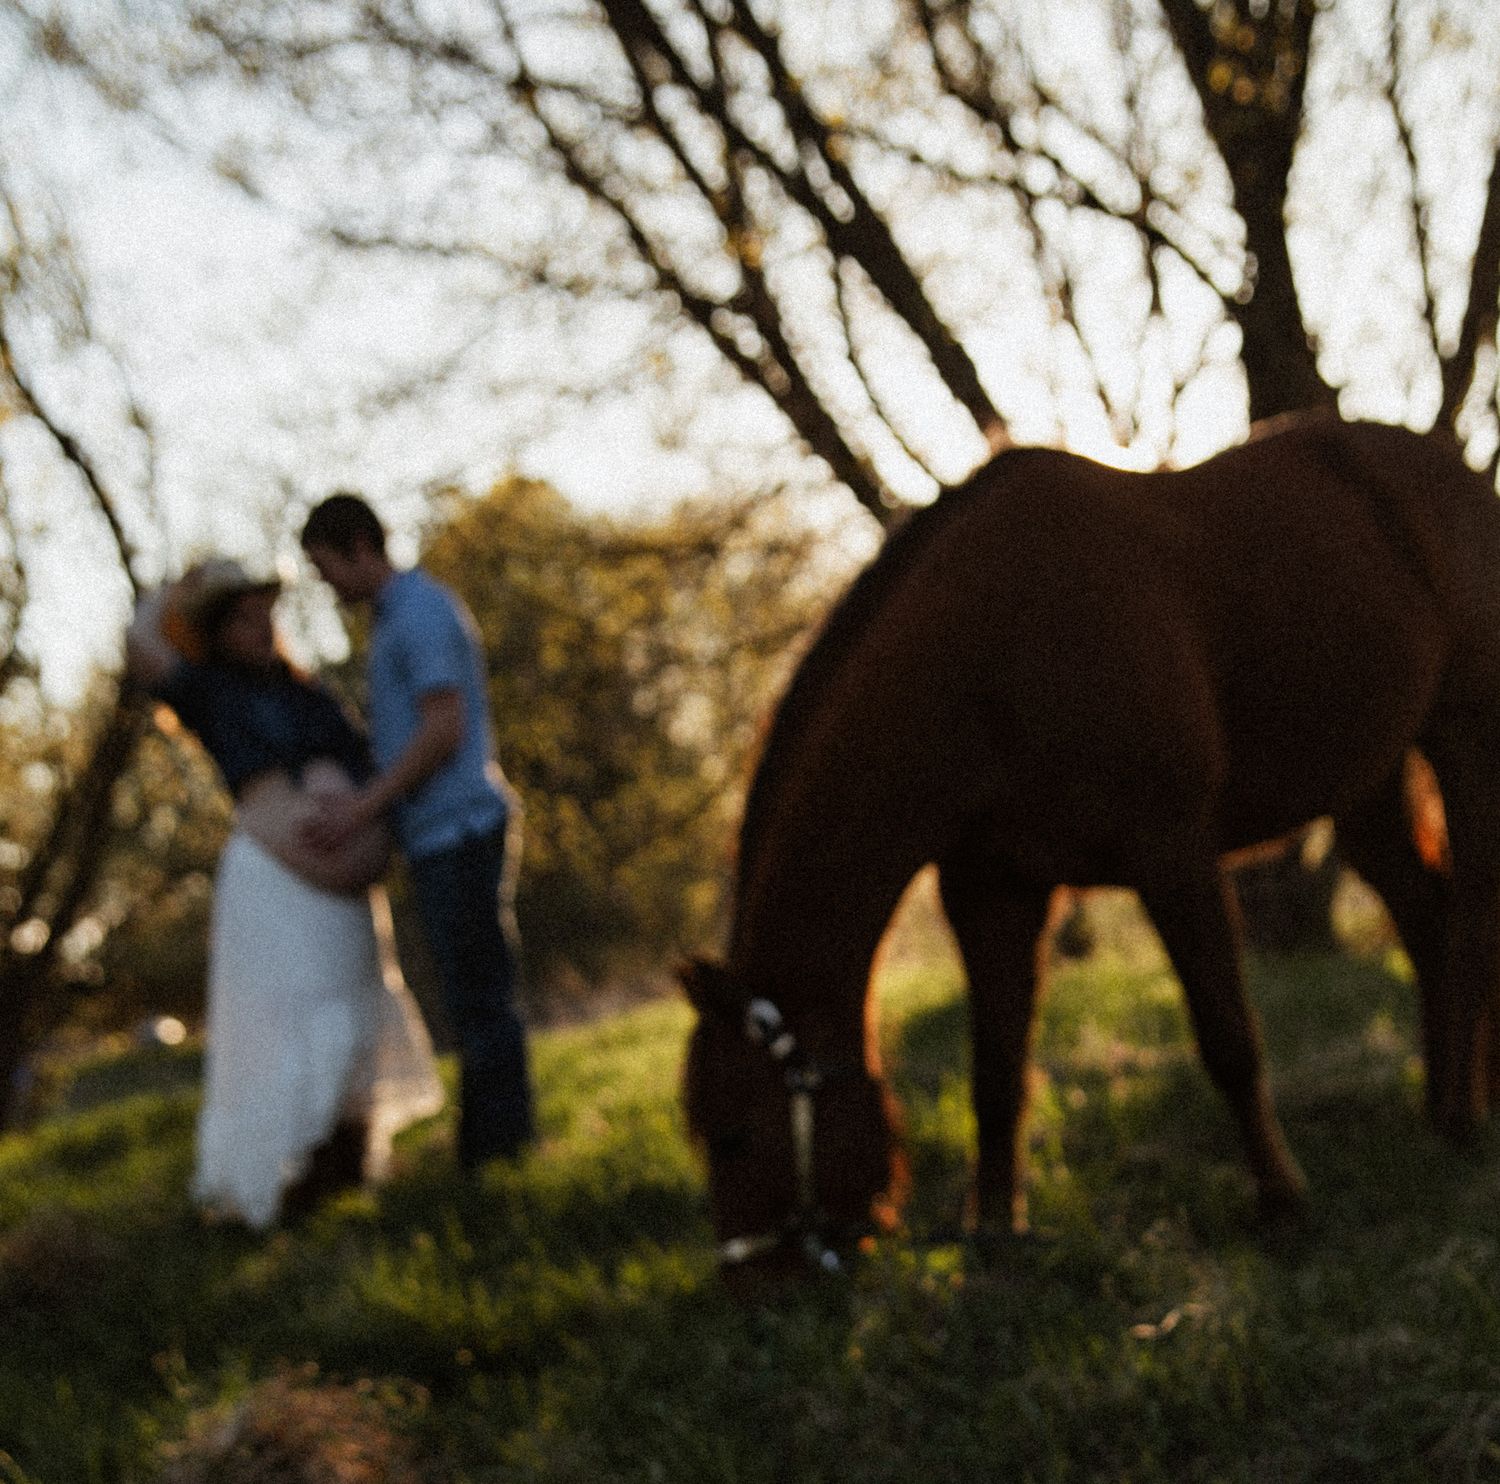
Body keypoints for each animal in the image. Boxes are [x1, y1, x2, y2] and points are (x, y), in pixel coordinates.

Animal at [682, 409, 1500, 1278]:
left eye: (733, 1136)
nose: (750, 1285)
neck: (994, 649)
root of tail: (1456, 474)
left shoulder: (1173, 855)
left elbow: (1228, 1042)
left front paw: (1281, 1201)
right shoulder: (992, 888)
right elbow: (996, 1072)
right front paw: (995, 1231)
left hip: (1466, 734)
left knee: (1475, 917)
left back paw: (1465, 1118)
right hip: (1367, 779)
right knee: (1430, 921)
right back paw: (1447, 1102)